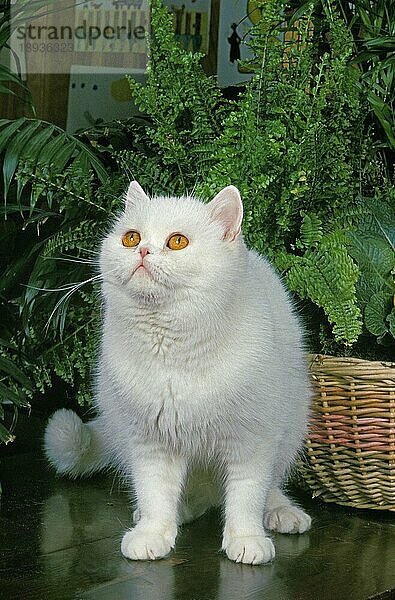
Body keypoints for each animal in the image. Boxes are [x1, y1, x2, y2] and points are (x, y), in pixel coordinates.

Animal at [44, 182, 312, 564]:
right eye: (131, 237)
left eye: (177, 242)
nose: (143, 250)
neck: (172, 350)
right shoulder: (150, 442)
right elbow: (155, 494)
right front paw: (152, 534)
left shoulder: (252, 440)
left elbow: (246, 496)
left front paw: (246, 540)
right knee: (182, 499)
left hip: (291, 431)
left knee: (270, 487)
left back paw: (281, 513)